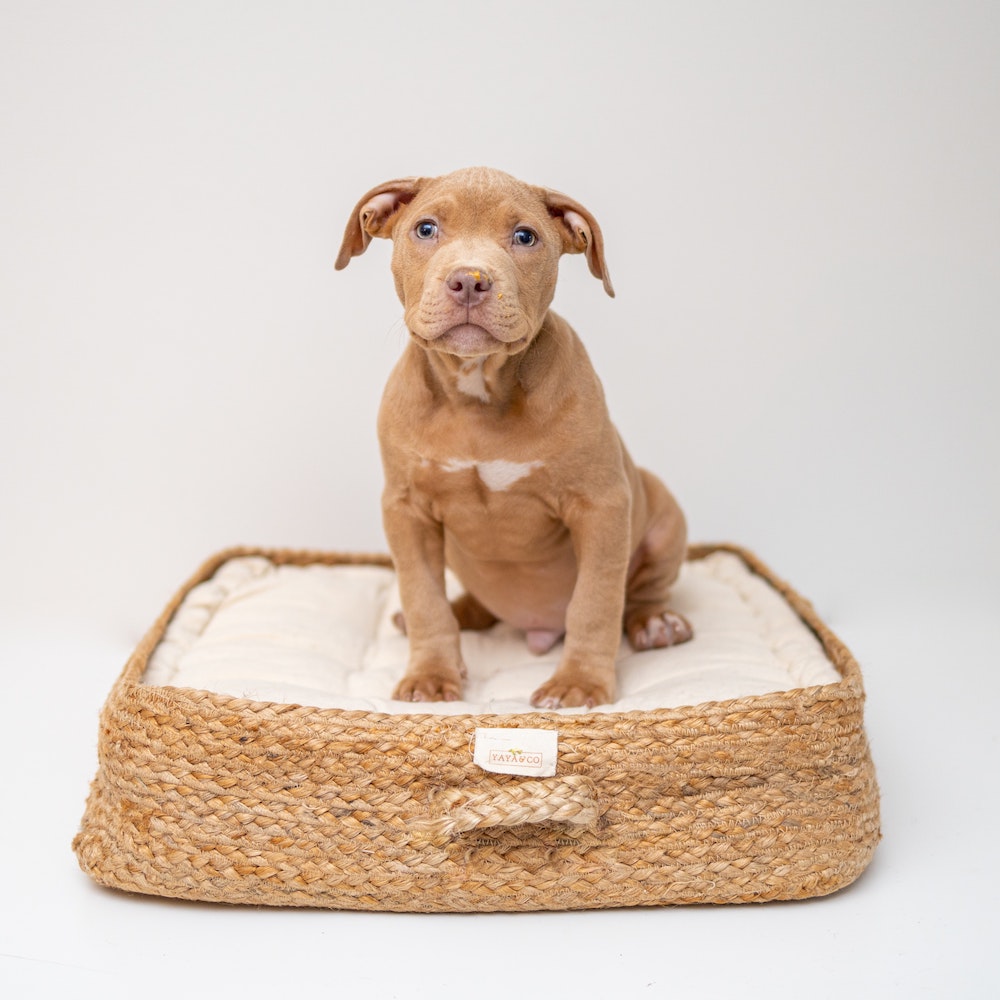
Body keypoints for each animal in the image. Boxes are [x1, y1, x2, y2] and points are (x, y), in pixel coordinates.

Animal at [334, 166, 688, 712]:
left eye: (525, 237)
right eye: (426, 229)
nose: (470, 280)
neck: (478, 391)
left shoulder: (602, 505)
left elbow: (595, 602)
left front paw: (579, 684)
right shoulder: (406, 510)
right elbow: (423, 597)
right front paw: (431, 675)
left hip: (664, 512)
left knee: (641, 593)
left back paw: (656, 624)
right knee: (467, 606)